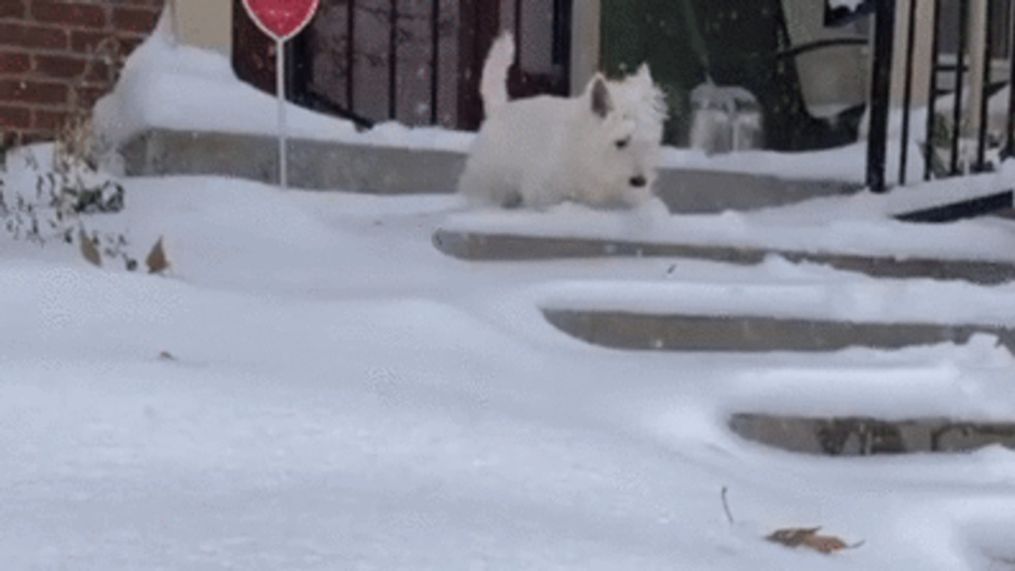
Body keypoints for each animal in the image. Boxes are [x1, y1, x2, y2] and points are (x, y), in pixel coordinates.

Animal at [458, 32, 665, 209]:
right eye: (621, 142)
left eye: (648, 143)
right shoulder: (545, 193)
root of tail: (499, 109)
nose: (640, 181)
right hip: (490, 182)